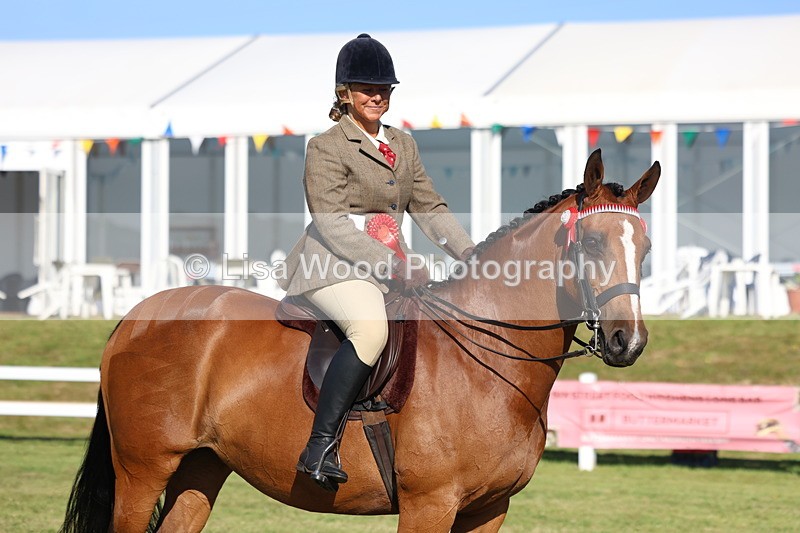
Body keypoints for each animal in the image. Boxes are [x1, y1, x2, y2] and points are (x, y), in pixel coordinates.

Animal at [61, 149, 660, 532]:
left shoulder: (488, 511)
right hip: (142, 472)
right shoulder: (429, 506)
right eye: (590, 241)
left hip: (201, 467)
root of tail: (136, 317)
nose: (627, 341)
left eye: (646, 246)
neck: (487, 365)